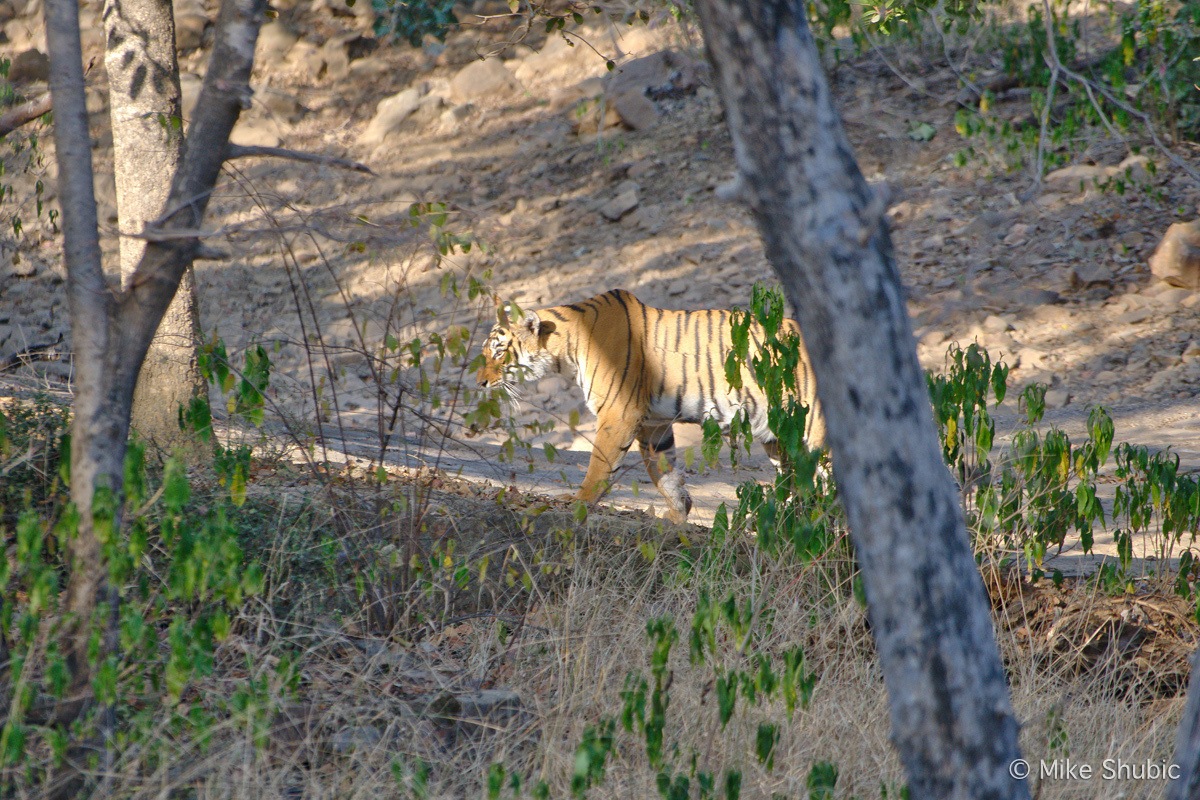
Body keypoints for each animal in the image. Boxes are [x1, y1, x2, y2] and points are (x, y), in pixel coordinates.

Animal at [475, 289, 825, 525]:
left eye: (498, 353)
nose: (479, 382)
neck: (566, 352)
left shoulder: (618, 413)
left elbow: (598, 466)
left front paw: (578, 502)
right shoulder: (653, 424)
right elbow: (664, 473)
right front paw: (677, 514)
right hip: (780, 440)